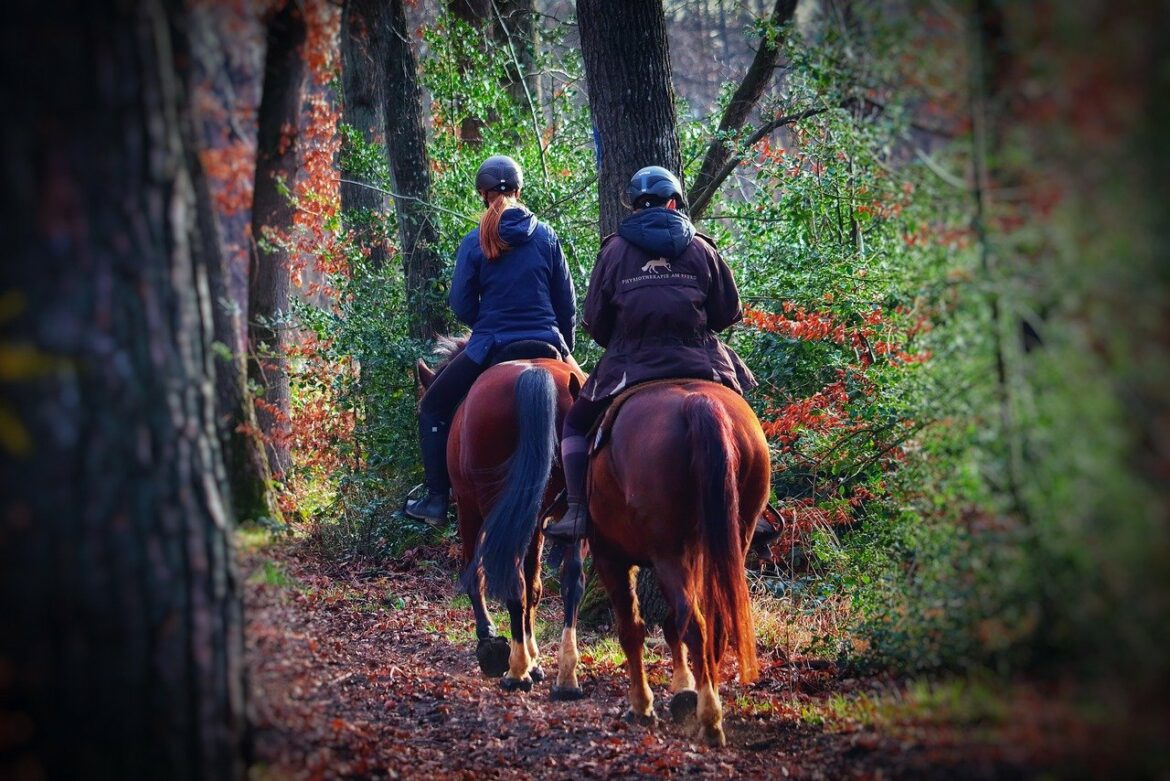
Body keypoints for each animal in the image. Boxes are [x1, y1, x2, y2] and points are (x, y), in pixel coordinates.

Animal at [416, 339, 589, 692]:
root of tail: (536, 376)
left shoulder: (468, 507)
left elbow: (474, 573)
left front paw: (491, 640)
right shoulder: (534, 521)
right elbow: (535, 587)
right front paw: (535, 659)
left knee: (511, 580)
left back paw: (516, 671)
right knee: (569, 581)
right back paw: (565, 675)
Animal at [561, 381, 772, 748]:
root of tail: (698, 404)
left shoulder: (611, 558)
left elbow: (632, 630)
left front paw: (642, 706)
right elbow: (672, 624)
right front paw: (683, 689)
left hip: (668, 554)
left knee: (697, 628)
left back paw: (710, 720)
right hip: (731, 539)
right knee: (713, 624)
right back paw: (706, 701)